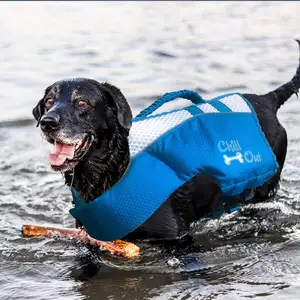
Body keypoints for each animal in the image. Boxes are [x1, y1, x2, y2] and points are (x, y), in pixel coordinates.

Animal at [32, 41, 300, 241]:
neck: (116, 168)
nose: (47, 122)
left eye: (82, 103)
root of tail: (268, 100)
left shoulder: (176, 236)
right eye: (49, 102)